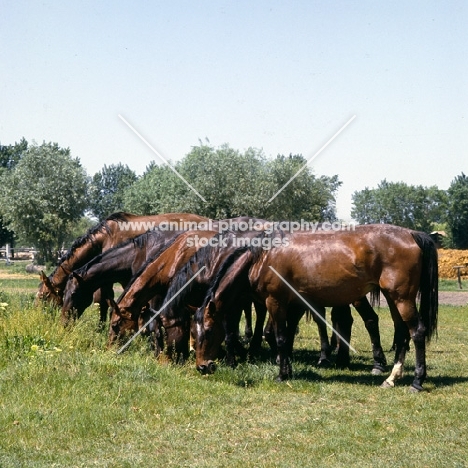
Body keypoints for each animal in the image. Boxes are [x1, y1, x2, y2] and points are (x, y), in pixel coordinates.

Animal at [194, 225, 438, 394]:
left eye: (207, 331)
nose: (202, 367)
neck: (263, 256)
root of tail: (411, 234)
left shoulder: (276, 302)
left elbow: (281, 338)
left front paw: (282, 375)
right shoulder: (295, 304)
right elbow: (286, 338)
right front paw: (289, 369)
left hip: (401, 297)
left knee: (417, 332)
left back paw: (417, 381)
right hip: (392, 297)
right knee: (402, 332)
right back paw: (391, 378)